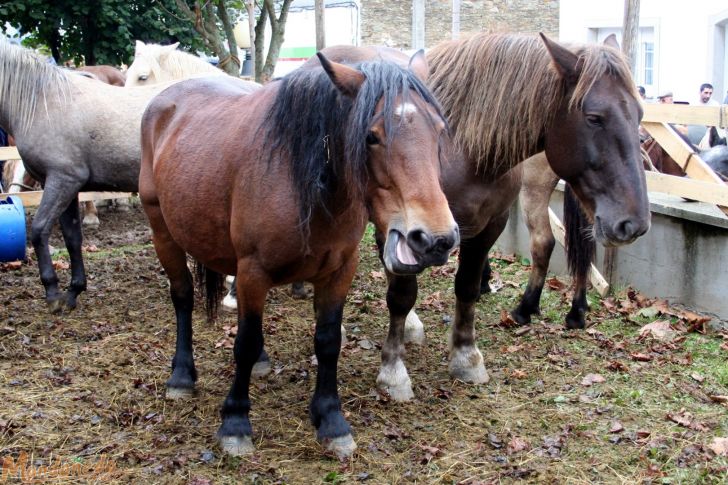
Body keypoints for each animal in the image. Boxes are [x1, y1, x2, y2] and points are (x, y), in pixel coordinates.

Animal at [139, 53, 458, 458]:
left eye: (439, 130)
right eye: (371, 136)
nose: (435, 239)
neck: (300, 180)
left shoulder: (340, 270)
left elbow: (328, 341)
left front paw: (331, 419)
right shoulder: (253, 271)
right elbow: (243, 343)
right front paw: (235, 422)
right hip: (162, 232)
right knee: (182, 298)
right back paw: (181, 376)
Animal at [310, 31, 652, 400]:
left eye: (639, 114)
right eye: (594, 118)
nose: (633, 224)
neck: (460, 147)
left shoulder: (488, 226)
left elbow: (467, 287)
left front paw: (465, 357)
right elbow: (401, 296)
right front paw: (393, 371)